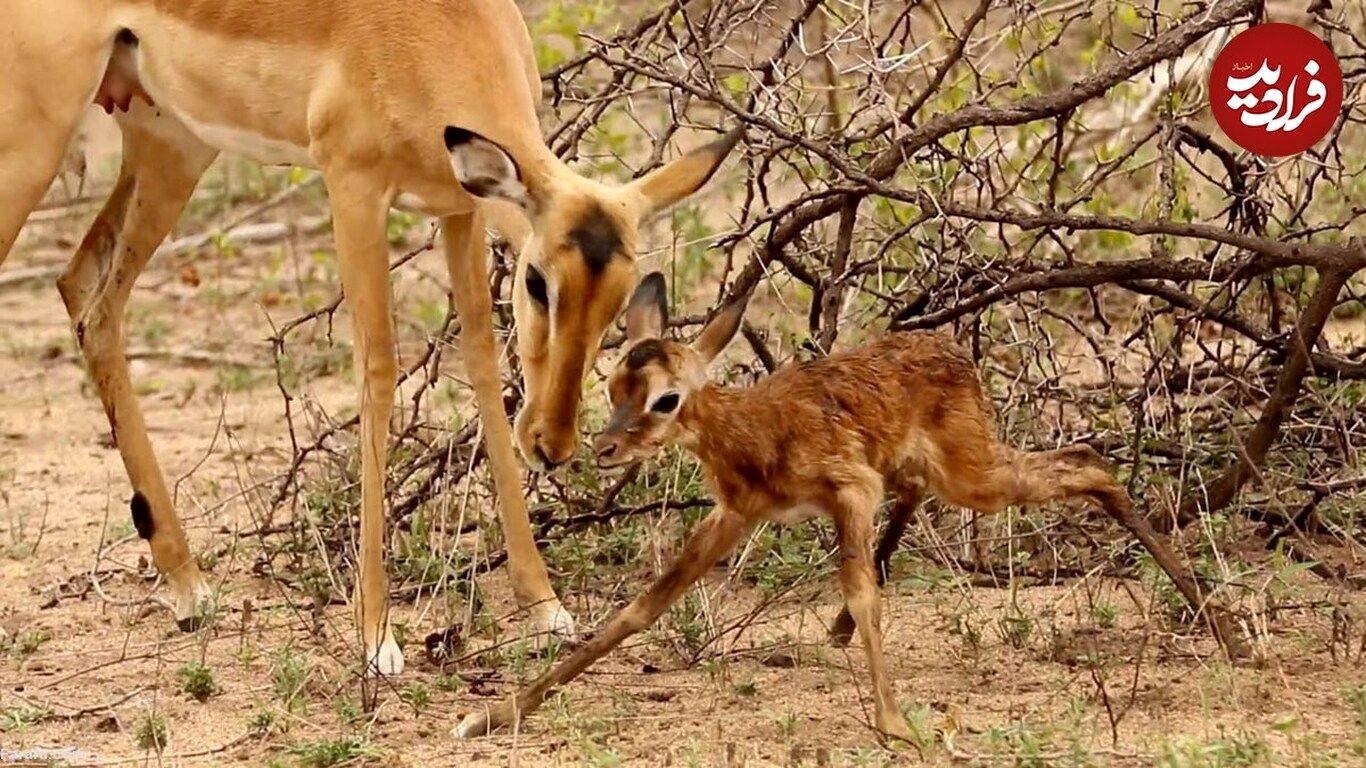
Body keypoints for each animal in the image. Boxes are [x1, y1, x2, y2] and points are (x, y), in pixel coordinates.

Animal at [456, 271, 1163, 737]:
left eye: (666, 398)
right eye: (613, 386)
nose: (604, 448)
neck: (751, 433)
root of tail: (951, 349)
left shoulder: (850, 493)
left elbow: (861, 590)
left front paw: (896, 724)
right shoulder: (735, 517)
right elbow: (638, 610)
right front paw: (492, 715)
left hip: (975, 477)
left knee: (1088, 464)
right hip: (939, 473)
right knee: (1054, 467)